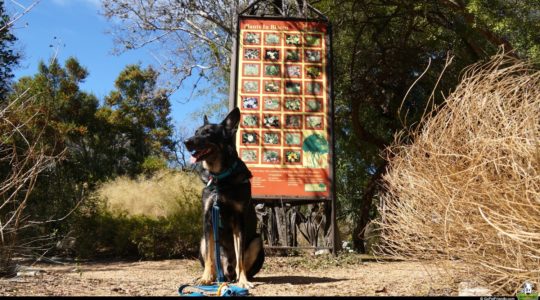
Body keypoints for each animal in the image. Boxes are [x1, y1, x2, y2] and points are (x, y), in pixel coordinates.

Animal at [184, 107, 264, 288]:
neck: (220, 178)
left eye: (208, 133)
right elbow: (209, 256)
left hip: (257, 241)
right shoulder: (208, 219)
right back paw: (210, 277)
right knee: (213, 261)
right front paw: (206, 277)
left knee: (241, 266)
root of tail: (226, 272)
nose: (186, 142)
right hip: (202, 240)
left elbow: (240, 257)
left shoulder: (238, 221)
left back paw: (240, 278)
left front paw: (243, 281)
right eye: (196, 132)